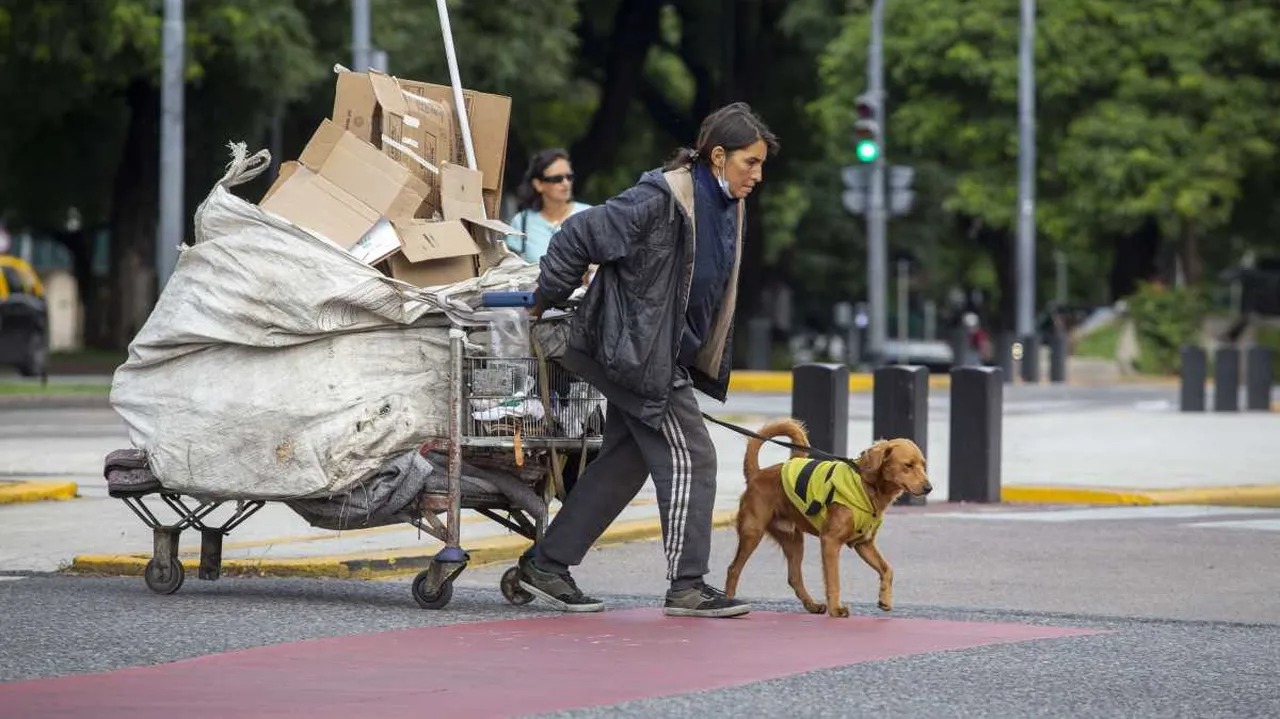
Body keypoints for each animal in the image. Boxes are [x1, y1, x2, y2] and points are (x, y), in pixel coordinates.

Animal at [727, 419, 936, 616]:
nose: (929, 488)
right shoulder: (830, 541)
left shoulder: (864, 543)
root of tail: (758, 474)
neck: (866, 486)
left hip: (793, 541)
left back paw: (811, 605)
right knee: (733, 569)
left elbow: (887, 569)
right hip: (752, 533)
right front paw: (836, 609)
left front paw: (884, 599)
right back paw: (729, 602)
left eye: (923, 465)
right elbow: (834, 580)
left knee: (794, 577)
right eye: (908, 465)